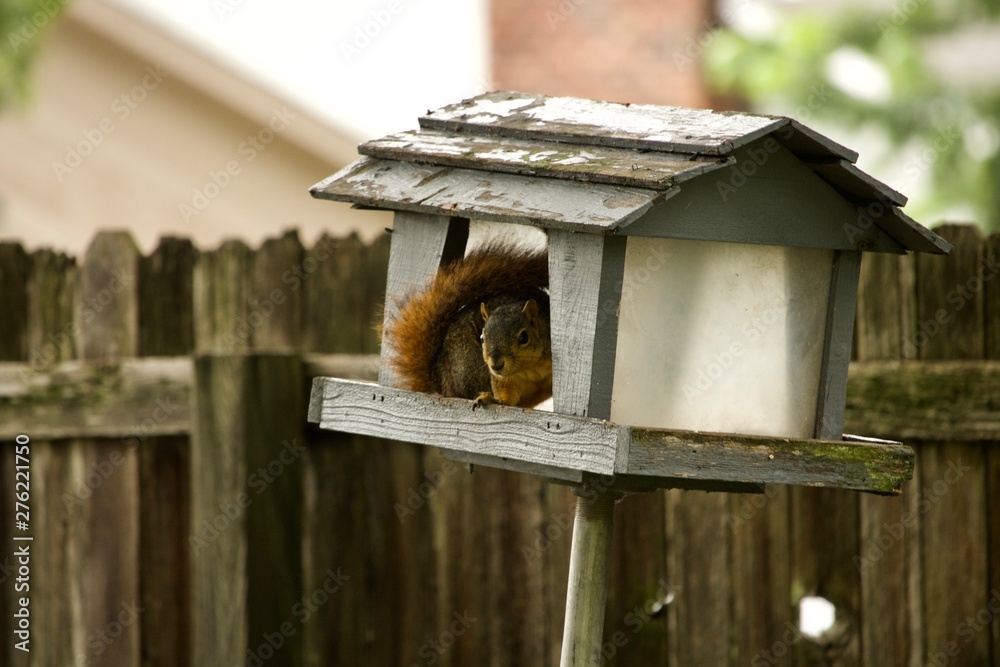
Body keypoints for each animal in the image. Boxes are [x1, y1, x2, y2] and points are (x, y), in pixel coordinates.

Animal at [384, 242, 552, 408]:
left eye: (524, 337)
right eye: (482, 338)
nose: (496, 365)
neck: (529, 367)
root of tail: (438, 382)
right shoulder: (503, 380)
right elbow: (506, 399)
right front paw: (492, 399)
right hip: (468, 366)